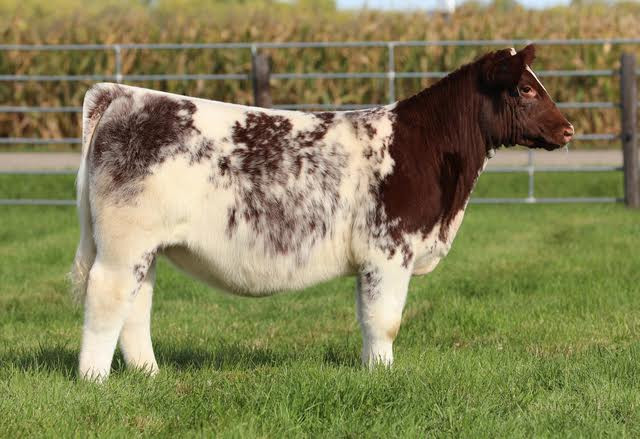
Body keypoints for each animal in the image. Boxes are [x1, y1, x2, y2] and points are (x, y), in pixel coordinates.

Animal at [70, 45, 573, 381]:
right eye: (525, 88)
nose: (568, 129)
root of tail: (126, 94)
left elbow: (370, 318)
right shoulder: (389, 250)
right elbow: (385, 321)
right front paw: (382, 376)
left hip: (147, 248)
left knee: (137, 306)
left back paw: (149, 374)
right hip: (123, 244)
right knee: (107, 297)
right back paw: (94, 379)